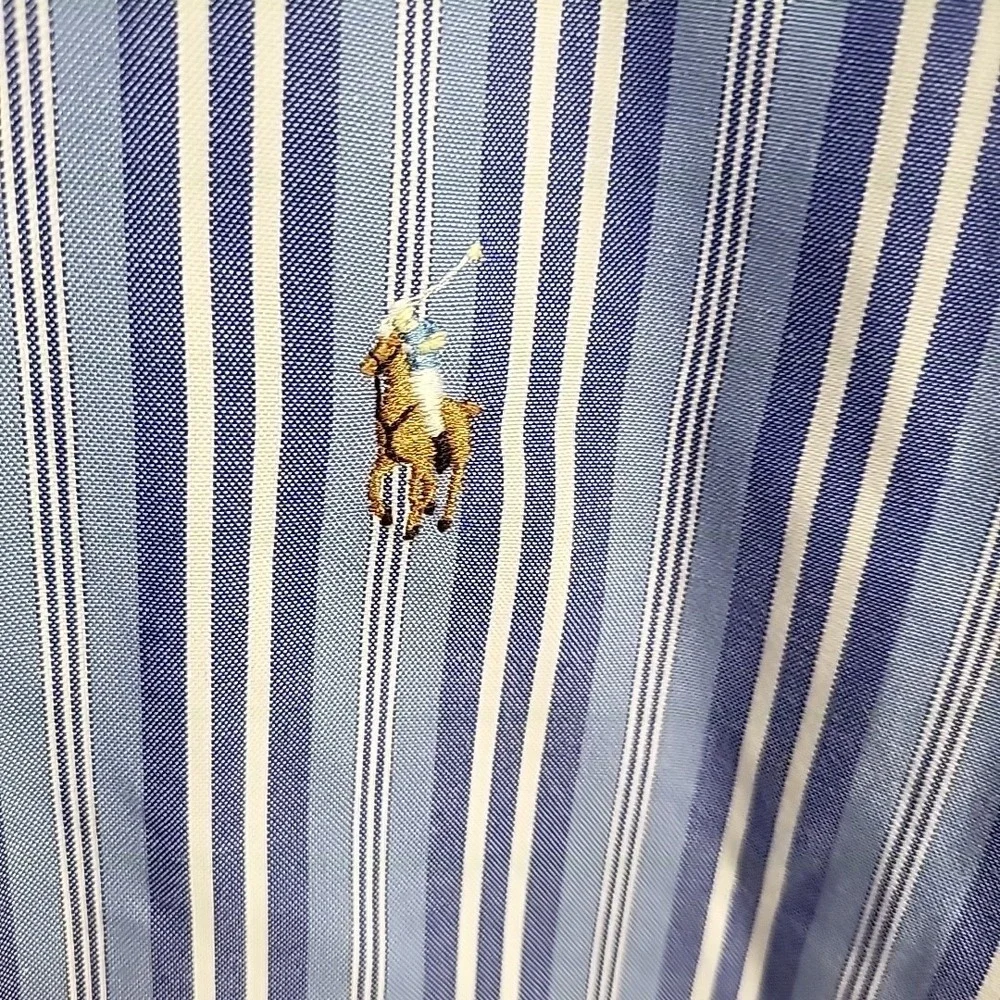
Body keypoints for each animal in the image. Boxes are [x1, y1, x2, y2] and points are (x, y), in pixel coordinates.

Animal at [360, 332, 482, 540]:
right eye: (377, 342)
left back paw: (445, 520)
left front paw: (412, 527)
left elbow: (412, 494)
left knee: (454, 485)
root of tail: (462, 407)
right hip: (430, 459)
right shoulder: (389, 457)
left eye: (392, 346)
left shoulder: (417, 461)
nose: (365, 366)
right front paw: (385, 515)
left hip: (458, 456)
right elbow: (373, 481)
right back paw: (429, 505)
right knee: (432, 481)